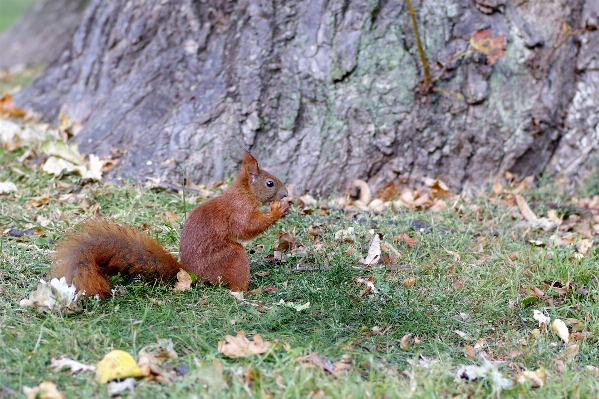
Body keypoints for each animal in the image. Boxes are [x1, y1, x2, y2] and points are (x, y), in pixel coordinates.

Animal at [50, 152, 290, 298]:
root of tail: (192, 274)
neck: (244, 194)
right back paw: (253, 291)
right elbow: (247, 228)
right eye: (270, 183)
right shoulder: (238, 212)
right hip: (231, 257)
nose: (287, 193)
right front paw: (278, 210)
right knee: (235, 287)